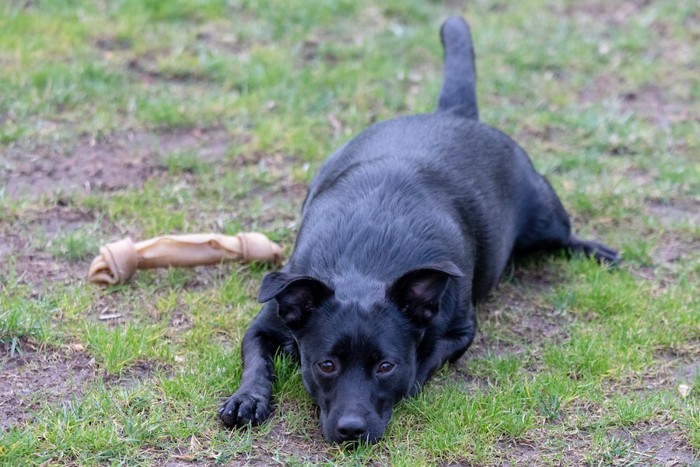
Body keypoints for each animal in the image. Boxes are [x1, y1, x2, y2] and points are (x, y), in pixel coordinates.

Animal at [219, 15, 616, 446]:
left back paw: (598, 251)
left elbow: (425, 362)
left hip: (545, 222)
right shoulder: (266, 323)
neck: (365, 260)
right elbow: (257, 361)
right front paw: (248, 398)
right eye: (326, 365)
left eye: (386, 367)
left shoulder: (460, 330)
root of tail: (454, 113)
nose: (352, 430)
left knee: (564, 237)